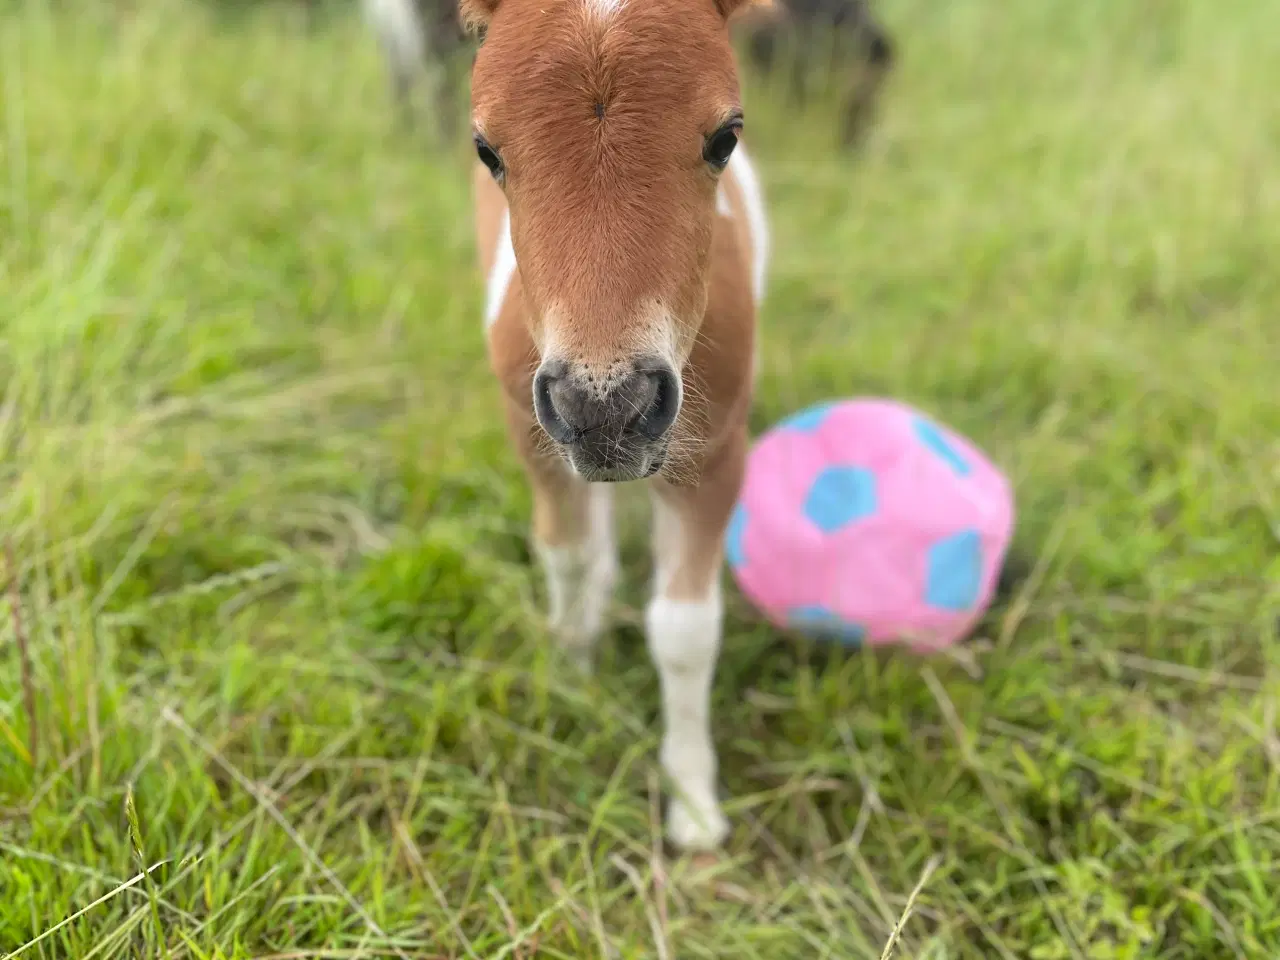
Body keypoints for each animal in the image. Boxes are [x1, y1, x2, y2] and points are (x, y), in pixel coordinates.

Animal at [465, 0, 762, 855]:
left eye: (726, 136)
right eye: (486, 149)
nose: (607, 407)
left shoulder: (714, 455)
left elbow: (686, 629)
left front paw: (693, 806)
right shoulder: (534, 435)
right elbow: (565, 557)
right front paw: (570, 676)